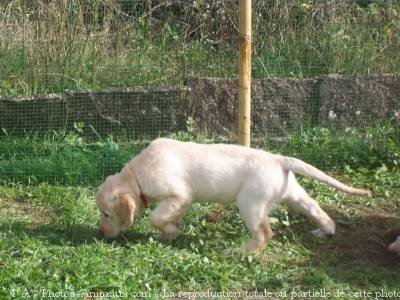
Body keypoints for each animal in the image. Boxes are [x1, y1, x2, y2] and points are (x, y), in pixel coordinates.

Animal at [95, 138, 370, 251]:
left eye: (106, 214)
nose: (101, 233)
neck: (137, 174)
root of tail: (278, 159)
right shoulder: (177, 202)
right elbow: (167, 218)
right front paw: (171, 231)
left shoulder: (179, 195)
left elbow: (156, 217)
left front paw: (170, 230)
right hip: (293, 193)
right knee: (316, 209)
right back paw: (325, 230)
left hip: (250, 203)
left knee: (264, 233)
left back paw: (240, 251)